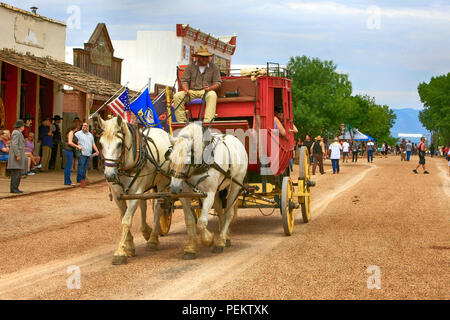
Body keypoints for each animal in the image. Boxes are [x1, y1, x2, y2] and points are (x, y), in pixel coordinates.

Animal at [99, 115, 172, 264]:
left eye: (119, 144)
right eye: (101, 144)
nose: (109, 175)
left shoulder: (135, 192)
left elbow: (126, 220)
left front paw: (120, 252)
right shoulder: (118, 194)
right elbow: (123, 216)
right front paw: (129, 246)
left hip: (161, 184)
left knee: (157, 208)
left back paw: (153, 239)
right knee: (144, 205)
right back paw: (146, 231)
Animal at [169, 121, 248, 258]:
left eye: (186, 162)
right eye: (170, 159)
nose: (174, 189)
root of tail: (236, 140)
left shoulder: (209, 193)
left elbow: (202, 222)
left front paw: (208, 240)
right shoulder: (185, 195)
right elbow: (190, 221)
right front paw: (191, 248)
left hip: (235, 185)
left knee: (228, 213)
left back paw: (220, 241)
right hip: (218, 190)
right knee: (220, 212)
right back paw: (225, 237)